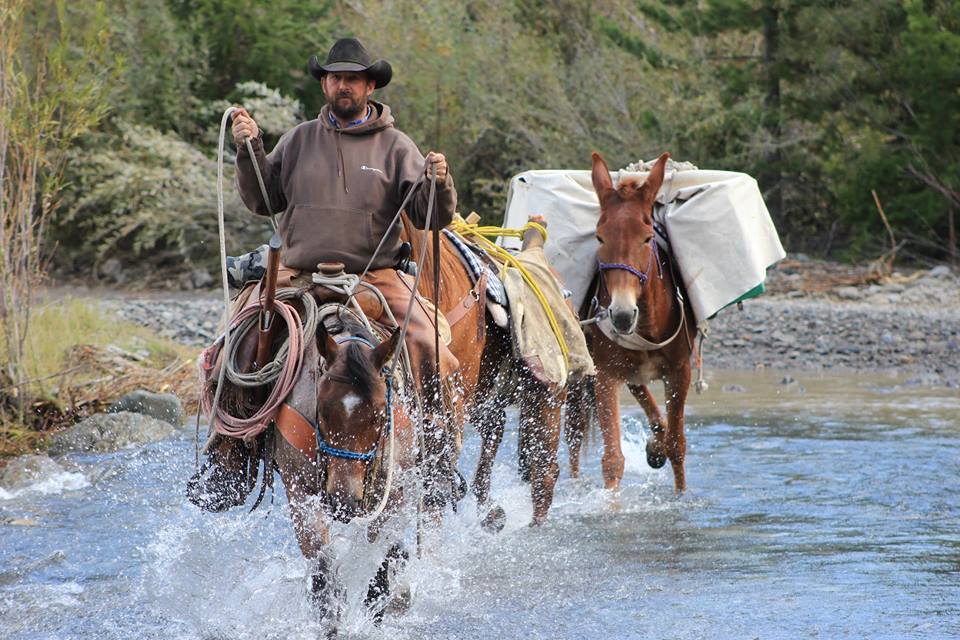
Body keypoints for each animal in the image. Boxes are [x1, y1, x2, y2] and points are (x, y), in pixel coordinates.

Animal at [568, 152, 692, 492]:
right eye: (599, 237)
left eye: (647, 238)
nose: (622, 316)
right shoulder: (605, 376)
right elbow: (612, 459)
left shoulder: (680, 372)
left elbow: (677, 444)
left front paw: (682, 496)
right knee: (573, 435)